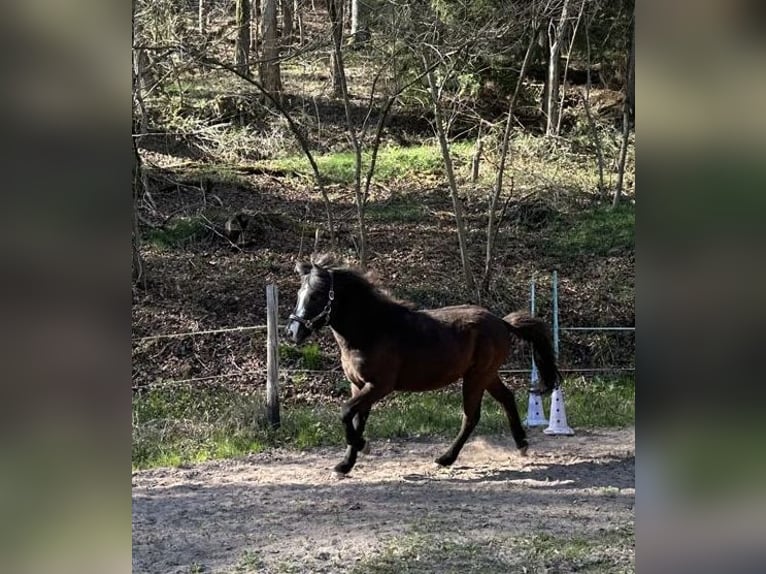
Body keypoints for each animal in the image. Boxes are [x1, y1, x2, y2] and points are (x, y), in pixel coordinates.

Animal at [285, 259, 560, 475]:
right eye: (298, 295)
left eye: (317, 295)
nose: (292, 332)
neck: (371, 329)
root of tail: (502, 322)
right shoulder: (359, 386)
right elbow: (356, 420)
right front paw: (345, 465)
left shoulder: (379, 386)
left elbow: (345, 414)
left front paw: (364, 446)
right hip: (487, 375)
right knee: (506, 398)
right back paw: (521, 444)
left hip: (476, 377)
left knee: (471, 417)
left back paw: (445, 459)